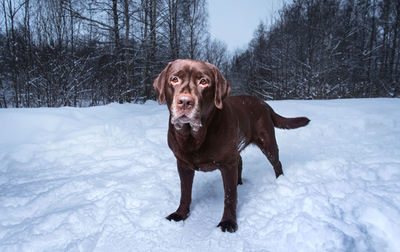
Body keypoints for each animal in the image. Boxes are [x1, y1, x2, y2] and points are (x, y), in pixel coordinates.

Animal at [153, 59, 310, 232]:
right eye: (174, 79)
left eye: (203, 82)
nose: (185, 101)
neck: (194, 136)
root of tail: (264, 103)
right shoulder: (183, 164)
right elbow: (185, 192)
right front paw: (180, 214)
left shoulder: (227, 164)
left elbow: (229, 195)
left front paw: (228, 222)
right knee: (240, 161)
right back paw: (239, 182)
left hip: (267, 143)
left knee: (276, 163)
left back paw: (280, 181)